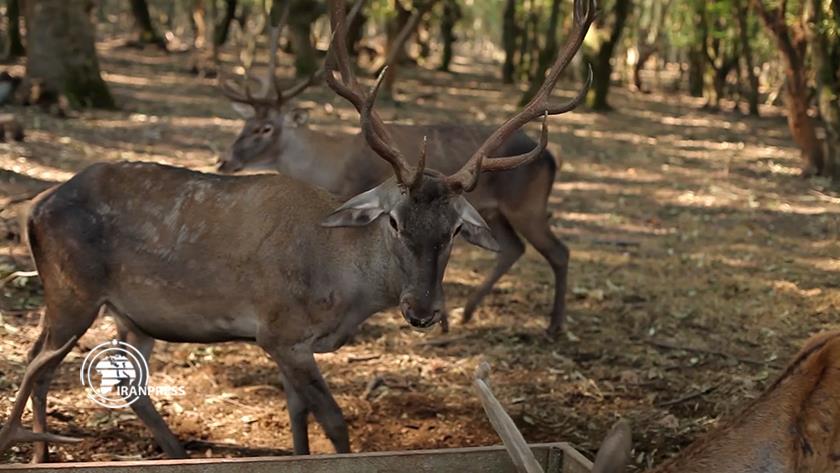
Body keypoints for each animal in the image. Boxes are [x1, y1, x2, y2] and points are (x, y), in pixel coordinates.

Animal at [216, 1, 592, 338]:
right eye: (246, 123)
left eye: (264, 129)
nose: (224, 160)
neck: (331, 166)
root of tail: (552, 156)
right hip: (495, 211)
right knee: (512, 248)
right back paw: (468, 312)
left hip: (528, 205)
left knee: (558, 251)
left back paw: (555, 326)